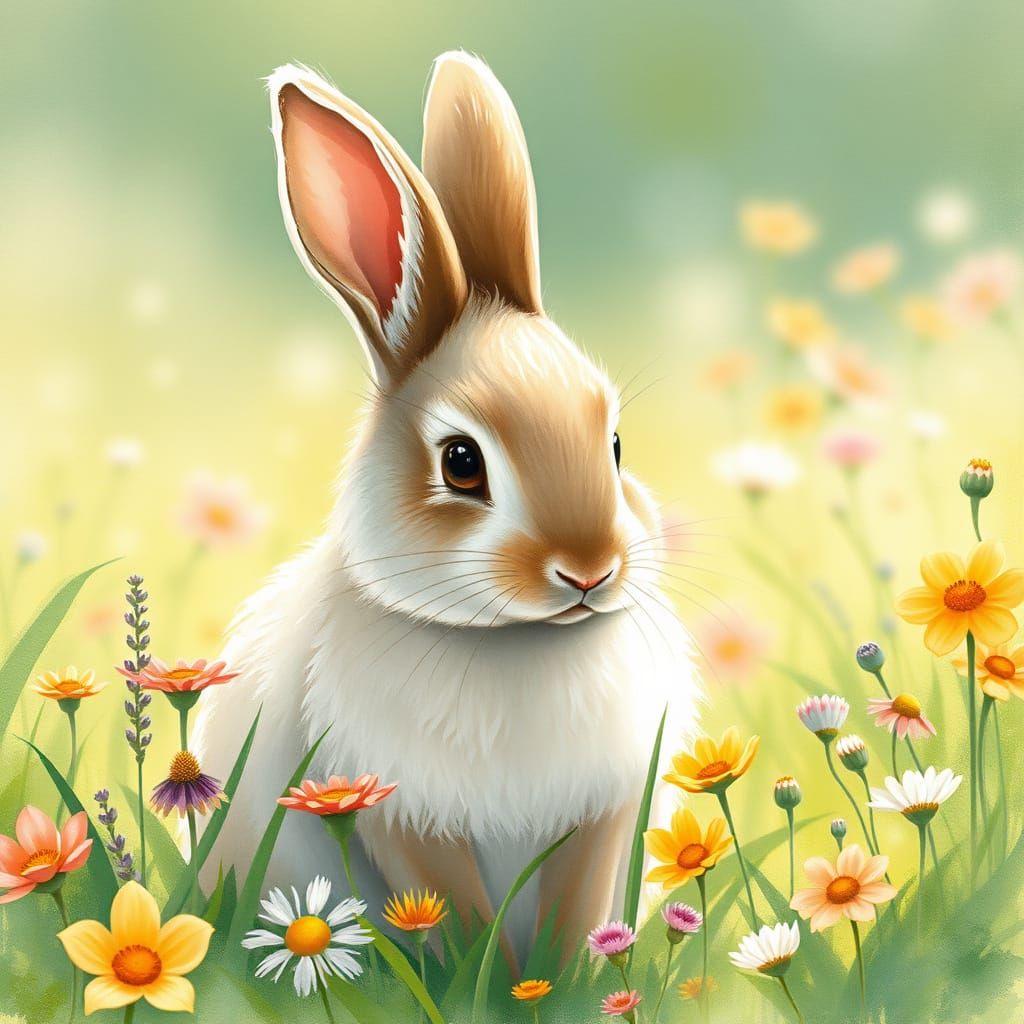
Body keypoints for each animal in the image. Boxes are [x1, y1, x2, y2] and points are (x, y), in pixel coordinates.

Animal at [191, 50, 699, 968]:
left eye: (613, 443)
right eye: (461, 463)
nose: (589, 570)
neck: (515, 642)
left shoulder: (600, 815)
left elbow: (578, 911)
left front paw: (566, 979)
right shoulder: (392, 812)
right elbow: (451, 913)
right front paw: (488, 980)